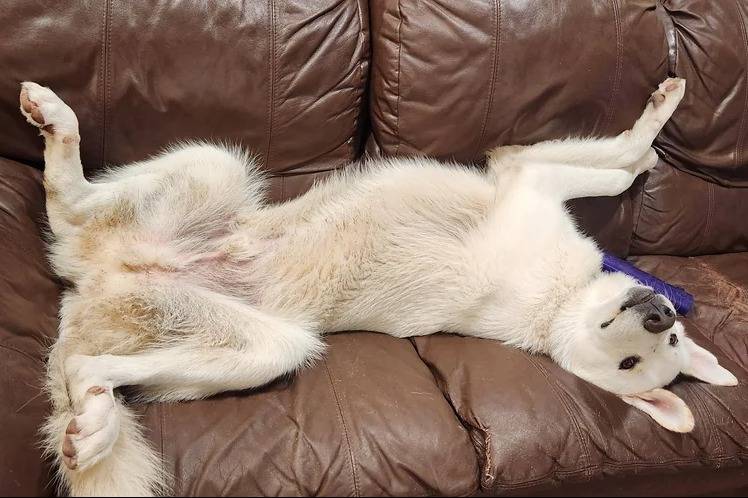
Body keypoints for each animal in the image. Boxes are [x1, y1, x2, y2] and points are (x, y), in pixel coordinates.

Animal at [19, 78, 737, 496]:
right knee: (70, 202)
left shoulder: (528, 183)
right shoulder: (528, 173)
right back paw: (54, 118)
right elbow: (618, 166)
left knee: (89, 356)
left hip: (267, 347)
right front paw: (656, 127)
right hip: (214, 167)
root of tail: (91, 283)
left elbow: (614, 166)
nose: (660, 310)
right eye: (662, 343)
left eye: (637, 362)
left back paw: (93, 425)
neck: (557, 307)